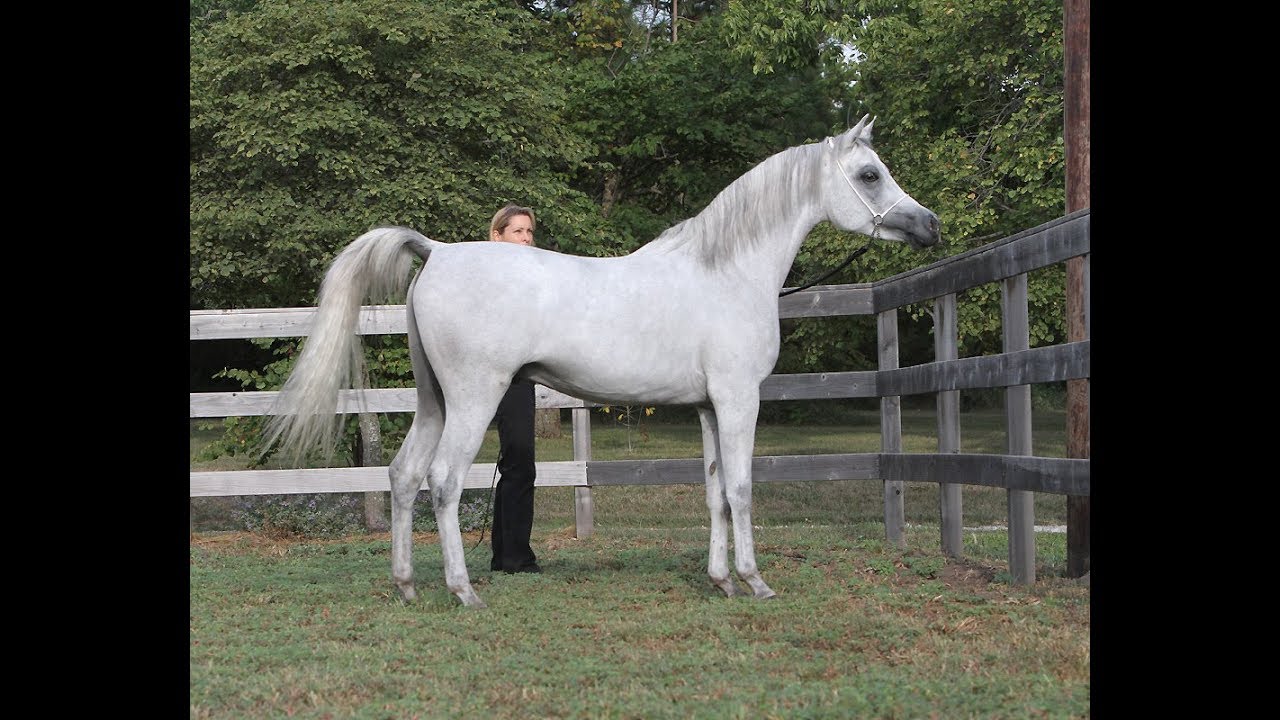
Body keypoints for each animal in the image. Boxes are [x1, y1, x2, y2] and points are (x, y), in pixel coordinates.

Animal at [266, 114, 940, 608]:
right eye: (870, 174)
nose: (929, 225)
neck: (726, 272)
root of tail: (437, 251)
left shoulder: (707, 407)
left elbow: (715, 491)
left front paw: (721, 580)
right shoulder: (737, 399)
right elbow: (743, 488)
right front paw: (755, 581)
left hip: (434, 401)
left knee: (404, 476)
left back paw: (407, 587)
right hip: (473, 400)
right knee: (444, 481)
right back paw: (463, 592)